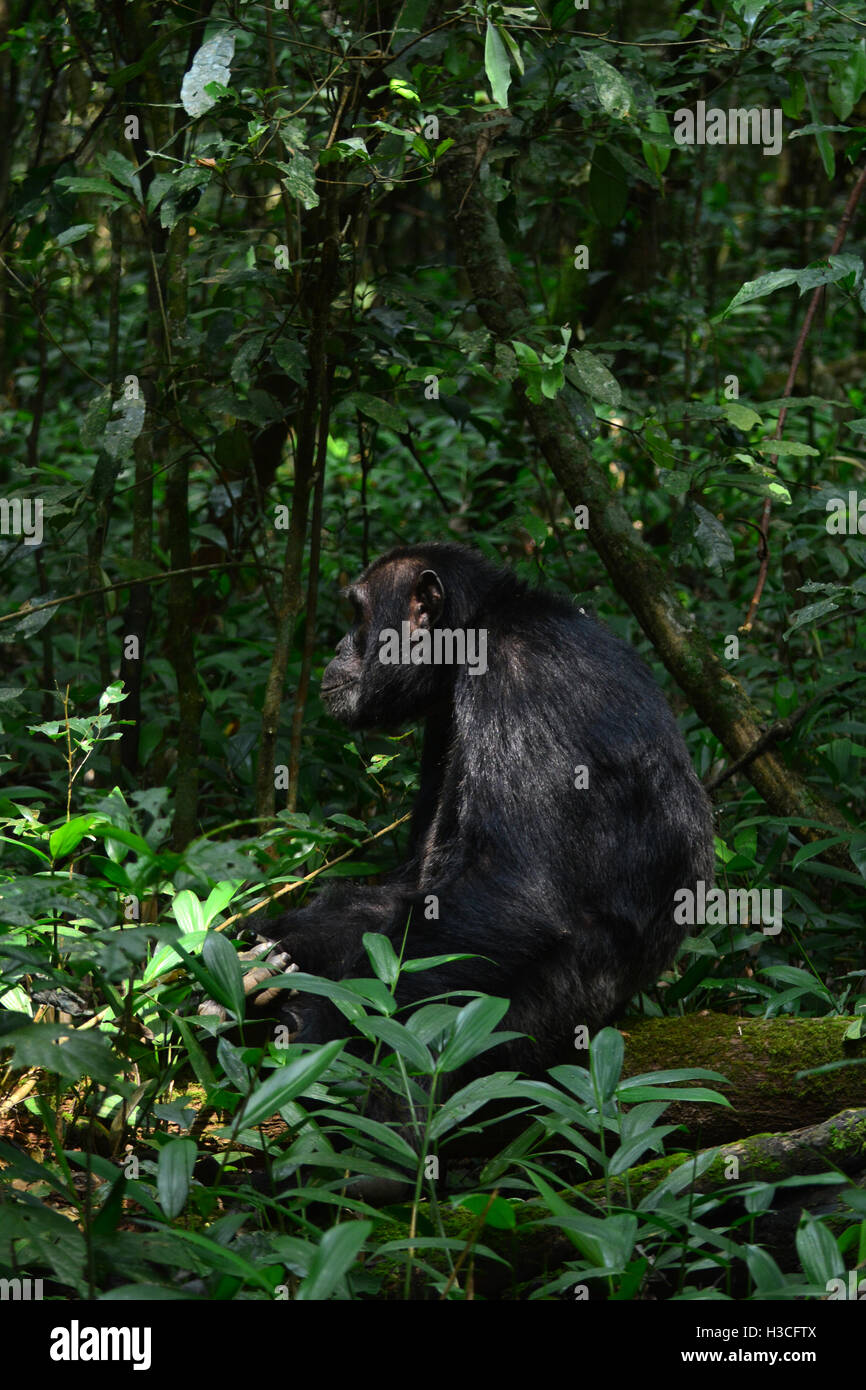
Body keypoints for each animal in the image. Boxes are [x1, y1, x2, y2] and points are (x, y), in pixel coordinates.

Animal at [268, 547, 717, 1078]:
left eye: (357, 614)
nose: (338, 647)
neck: (473, 633)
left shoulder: (518, 675)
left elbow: (512, 888)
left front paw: (327, 1022)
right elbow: (412, 887)